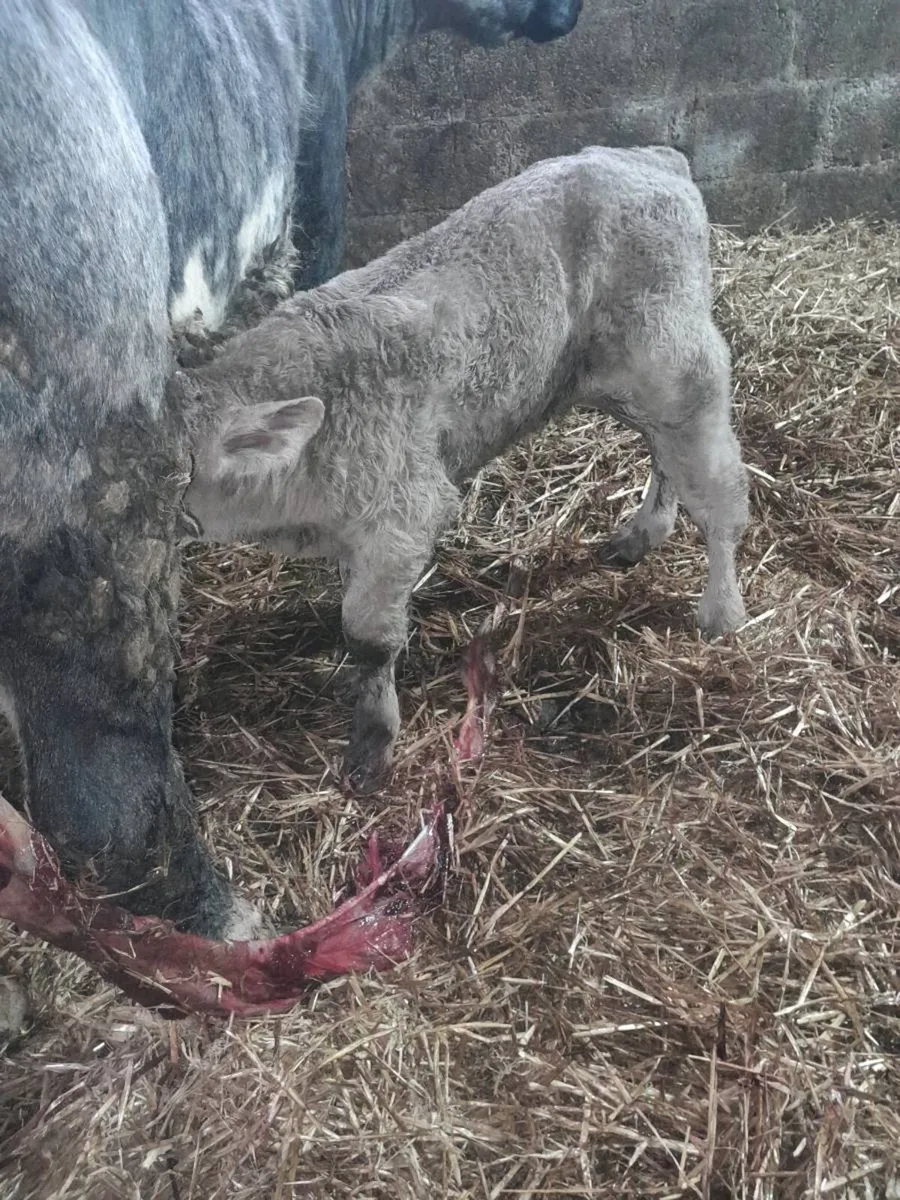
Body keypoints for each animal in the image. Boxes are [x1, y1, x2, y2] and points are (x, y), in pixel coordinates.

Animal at [178, 145, 751, 793]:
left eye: (173, 474)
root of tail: (650, 157)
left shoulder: (405, 511)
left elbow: (368, 637)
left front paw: (372, 745)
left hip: (678, 357)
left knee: (719, 489)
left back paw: (722, 612)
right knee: (666, 453)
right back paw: (642, 533)